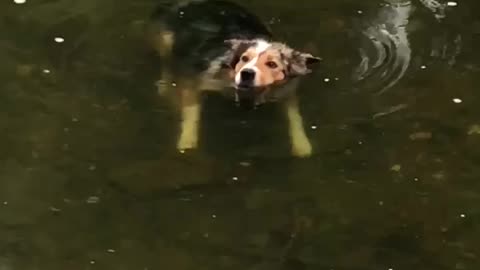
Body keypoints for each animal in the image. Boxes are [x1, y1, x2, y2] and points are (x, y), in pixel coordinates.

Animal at [144, 0, 320, 157]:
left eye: (272, 64)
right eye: (244, 58)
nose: (246, 73)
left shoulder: (287, 92)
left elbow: (295, 117)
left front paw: (302, 145)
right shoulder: (195, 81)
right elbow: (191, 113)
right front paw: (187, 141)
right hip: (165, 42)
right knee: (166, 66)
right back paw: (165, 88)